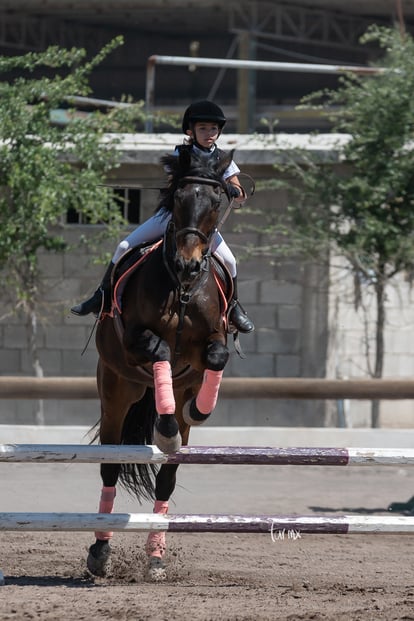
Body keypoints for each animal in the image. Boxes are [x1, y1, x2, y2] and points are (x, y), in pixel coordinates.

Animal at [87, 147, 236, 580]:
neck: (181, 289)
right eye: (179, 198)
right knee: (110, 469)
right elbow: (162, 352)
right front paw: (165, 428)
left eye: (216, 201)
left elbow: (216, 356)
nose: (189, 265)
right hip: (117, 391)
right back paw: (99, 553)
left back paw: (155, 556)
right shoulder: (135, 341)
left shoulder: (211, 341)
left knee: (167, 478)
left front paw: (197, 409)